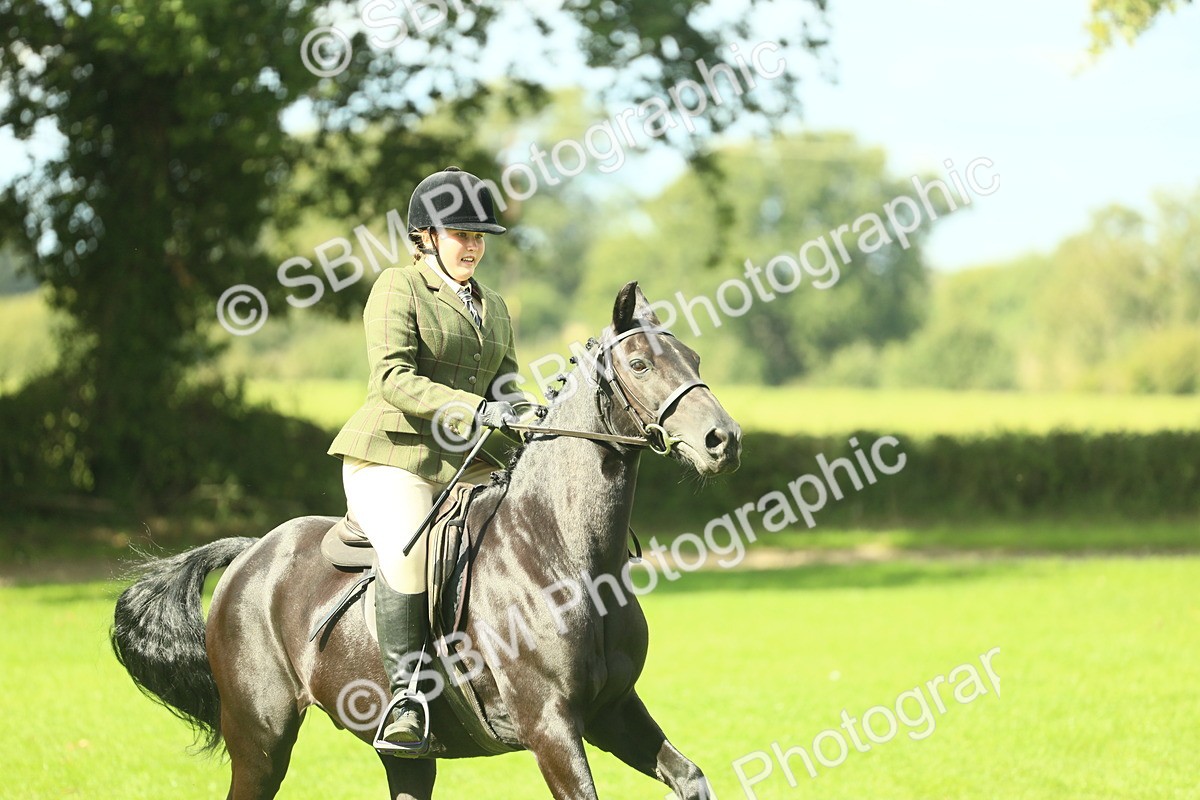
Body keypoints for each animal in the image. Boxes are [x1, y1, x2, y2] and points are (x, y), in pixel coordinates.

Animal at [112, 281, 742, 800]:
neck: (563, 552)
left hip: (399, 751)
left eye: (693, 359)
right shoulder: (551, 726)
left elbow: (690, 777)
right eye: (638, 363)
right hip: (261, 739)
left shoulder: (614, 711)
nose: (724, 440)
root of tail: (251, 552)